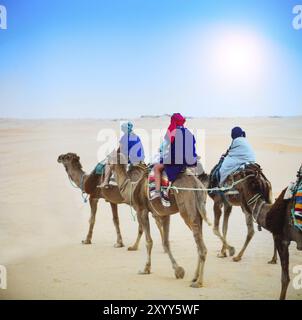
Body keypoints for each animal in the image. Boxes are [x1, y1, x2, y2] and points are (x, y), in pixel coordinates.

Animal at [108, 151, 210, 288]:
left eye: (109, 157)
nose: (105, 165)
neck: (132, 187)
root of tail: (197, 185)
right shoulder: (164, 214)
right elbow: (165, 242)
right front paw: (178, 270)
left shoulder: (142, 210)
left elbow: (149, 241)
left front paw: (146, 269)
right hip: (199, 211)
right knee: (198, 241)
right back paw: (194, 277)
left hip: (187, 211)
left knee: (201, 246)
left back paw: (199, 282)